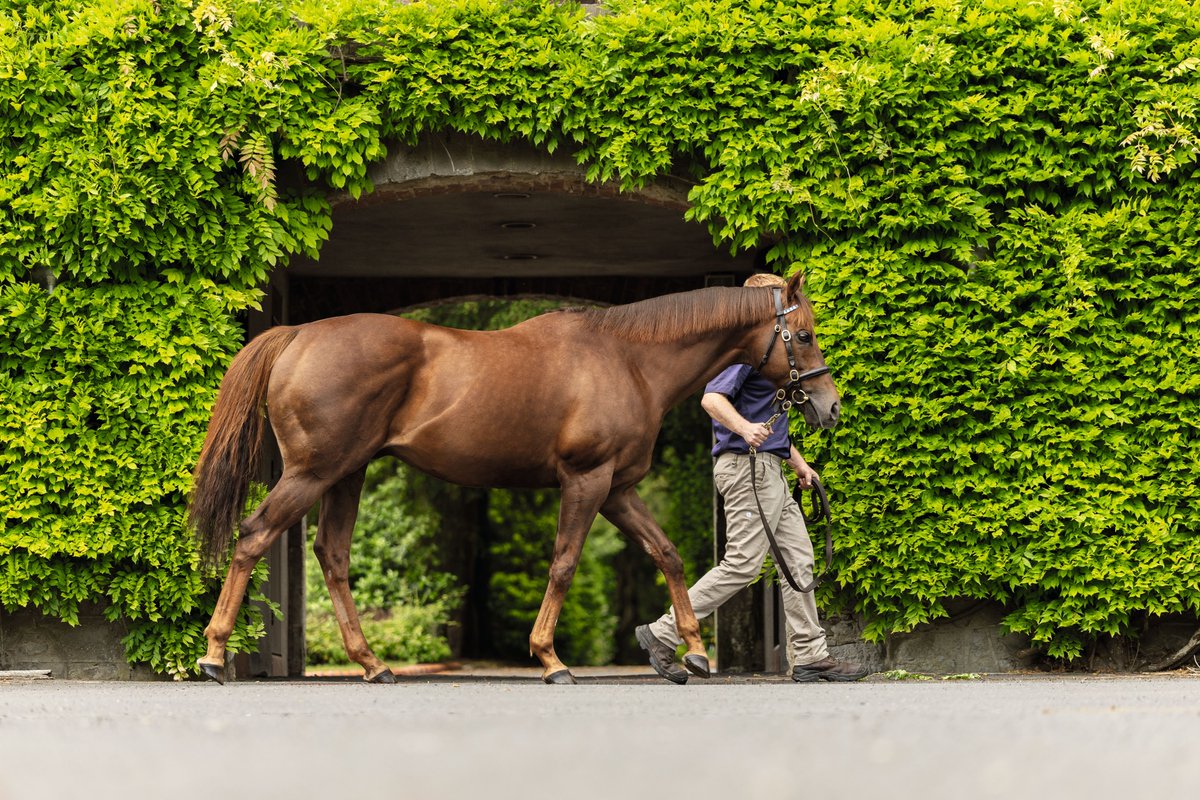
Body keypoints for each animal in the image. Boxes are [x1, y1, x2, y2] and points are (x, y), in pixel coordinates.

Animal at [187, 272, 839, 685]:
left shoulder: (618, 490)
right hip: (313, 473)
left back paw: (372, 664)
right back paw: (215, 656)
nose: (828, 407)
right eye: (804, 334)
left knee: (333, 555)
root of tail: (298, 334)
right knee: (255, 535)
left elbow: (669, 555)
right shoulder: (586, 482)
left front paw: (692, 654)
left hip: (346, 475)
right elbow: (564, 564)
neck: (628, 360)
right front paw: (550, 660)